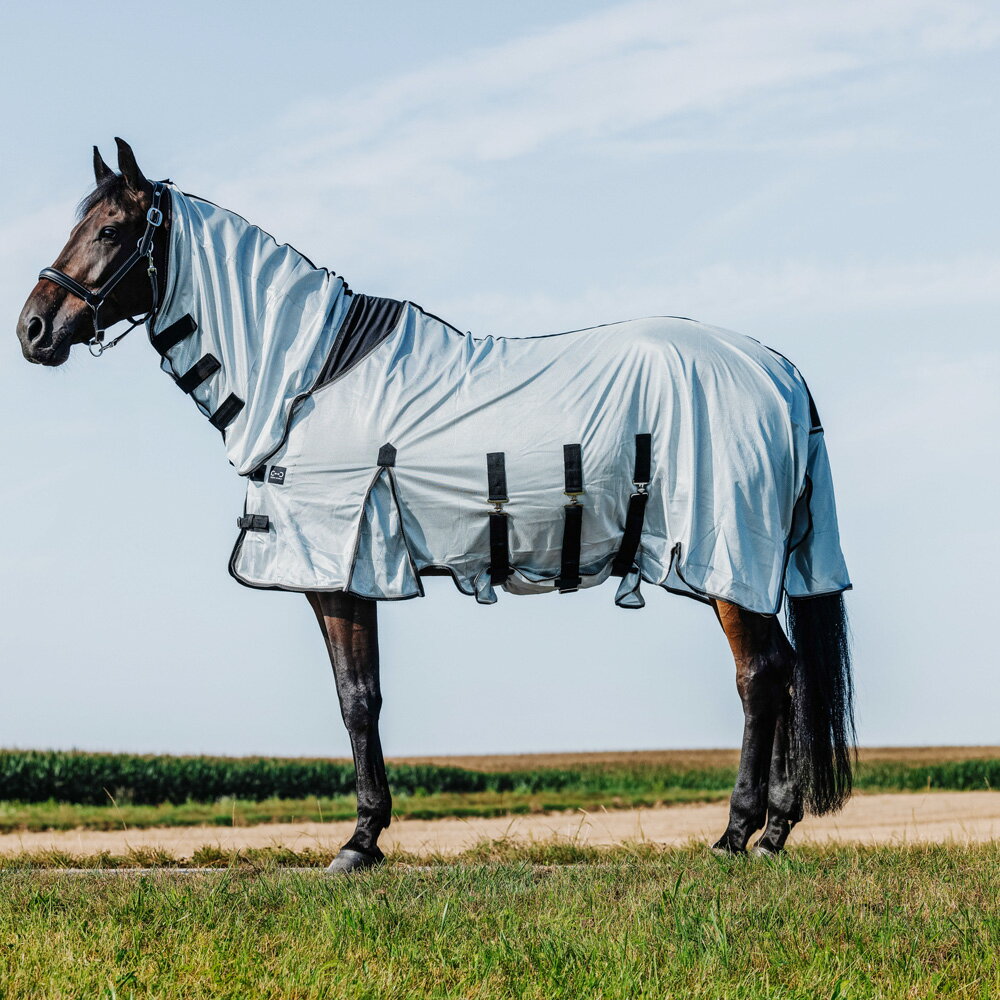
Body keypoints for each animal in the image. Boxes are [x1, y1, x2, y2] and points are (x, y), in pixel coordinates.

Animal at [16, 139, 855, 872]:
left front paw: (359, 842)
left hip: (722, 557)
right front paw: (368, 836)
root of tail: (776, 369)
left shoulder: (337, 570)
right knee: (784, 670)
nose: (32, 329)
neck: (309, 378)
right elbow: (364, 696)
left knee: (759, 677)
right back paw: (775, 831)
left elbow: (357, 700)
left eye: (111, 229)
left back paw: (736, 835)